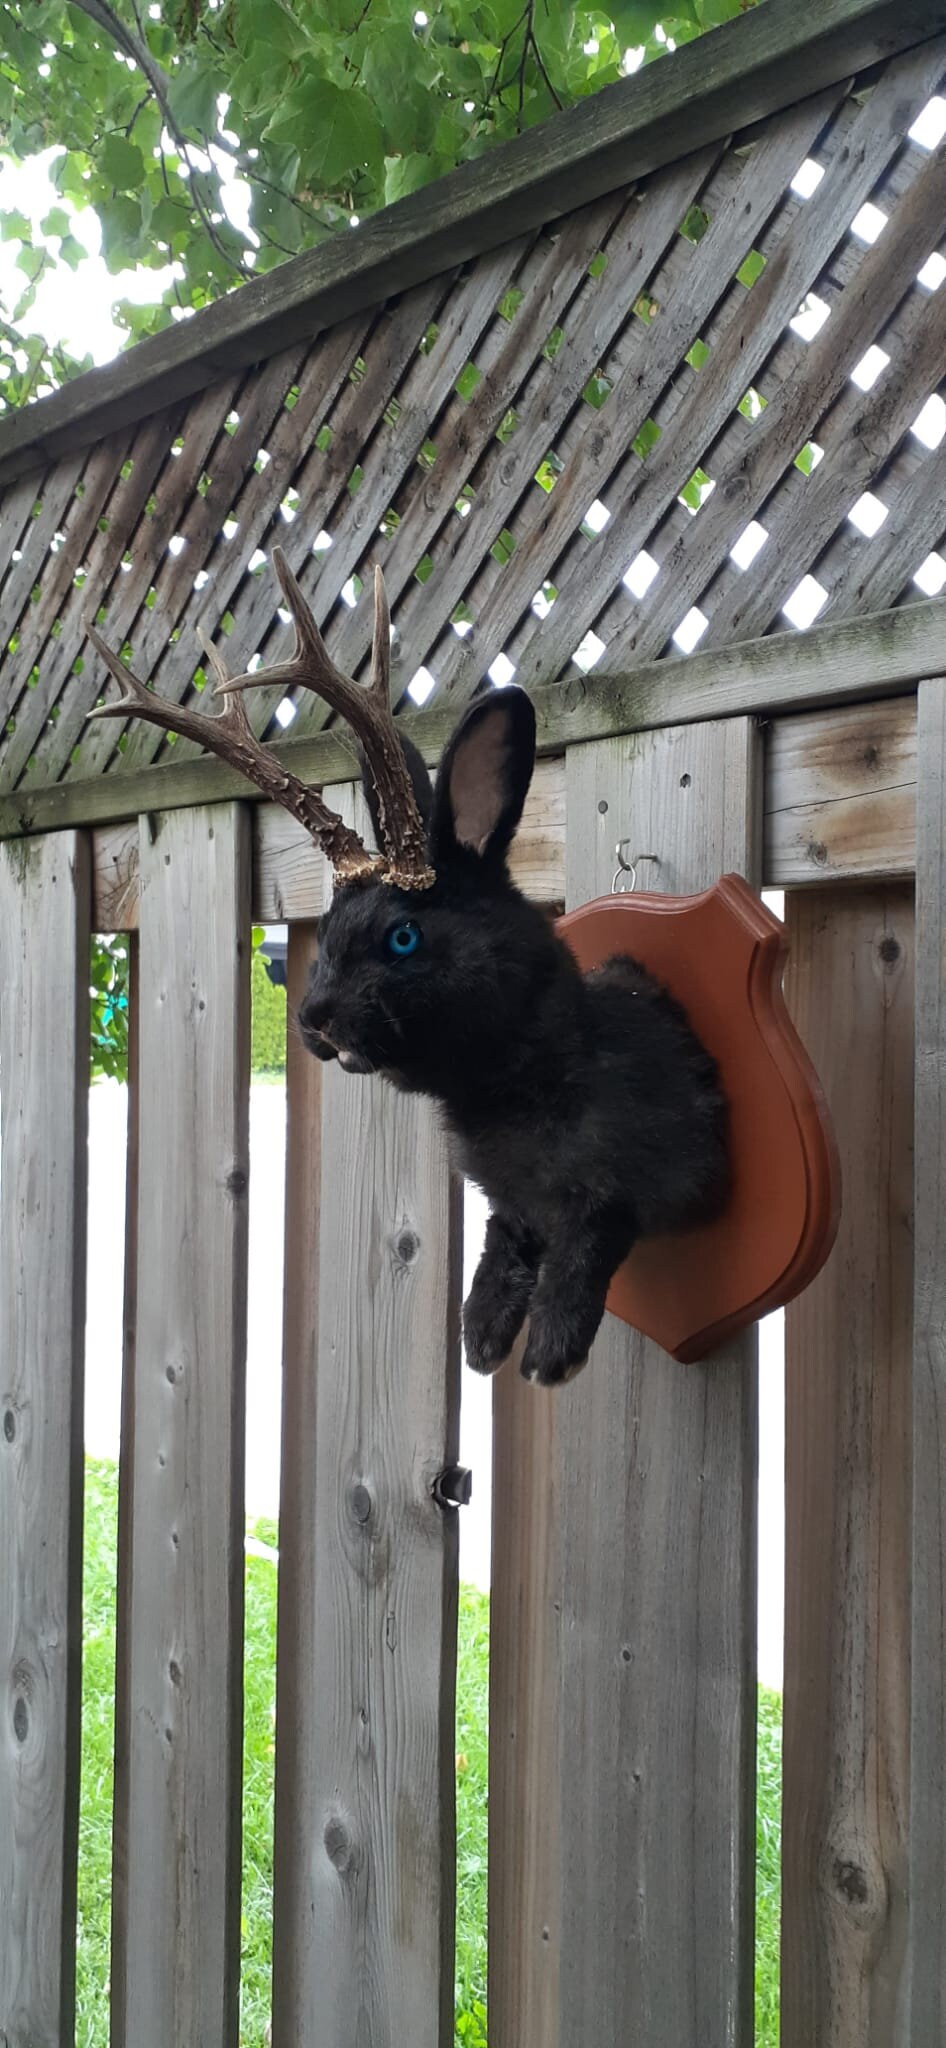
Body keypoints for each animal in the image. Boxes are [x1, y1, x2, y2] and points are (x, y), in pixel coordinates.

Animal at [297, 685, 729, 1386]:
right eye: (327, 932)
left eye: (403, 937)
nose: (314, 1018)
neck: (511, 1084)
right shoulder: (511, 1205)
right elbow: (499, 1254)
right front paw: (480, 1344)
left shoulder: (605, 1195)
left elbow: (580, 1259)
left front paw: (550, 1360)